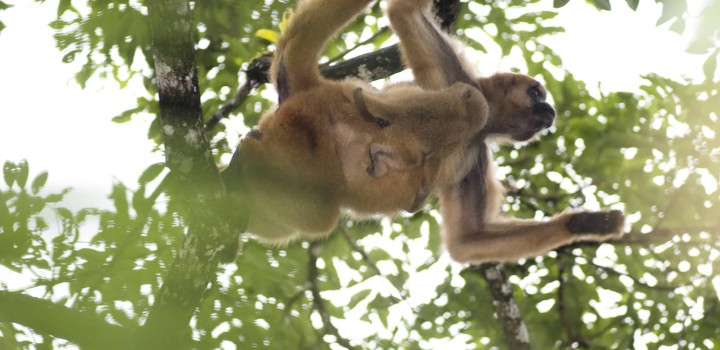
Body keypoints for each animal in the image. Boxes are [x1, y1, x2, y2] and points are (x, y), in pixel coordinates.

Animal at [386, 0, 628, 262]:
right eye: (536, 94)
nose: (550, 109)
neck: (480, 125)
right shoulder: (454, 78)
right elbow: (404, 12)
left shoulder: (476, 155)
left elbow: (466, 242)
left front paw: (584, 222)